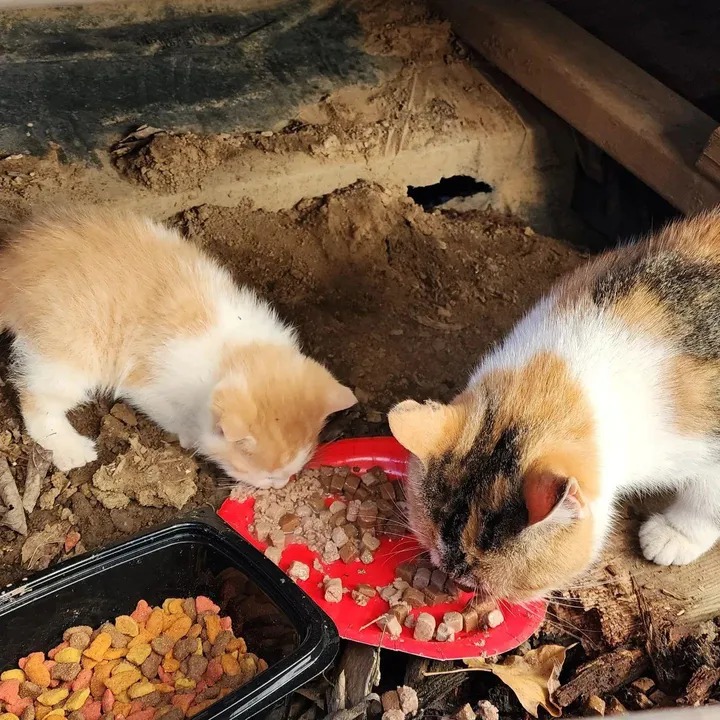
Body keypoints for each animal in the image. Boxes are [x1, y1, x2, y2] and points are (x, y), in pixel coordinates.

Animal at [0, 208, 356, 490]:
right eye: (268, 474)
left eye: (294, 469)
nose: (280, 485)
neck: (235, 352)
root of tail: (13, 263)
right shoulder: (148, 381)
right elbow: (170, 412)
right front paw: (190, 434)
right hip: (71, 349)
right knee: (37, 398)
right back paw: (69, 448)